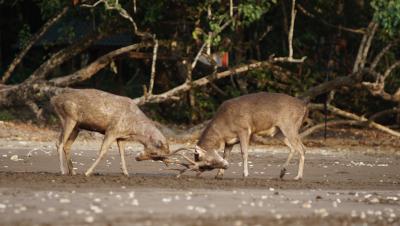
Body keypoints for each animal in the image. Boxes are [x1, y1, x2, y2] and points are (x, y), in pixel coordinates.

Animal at [177, 92, 308, 180]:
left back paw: (298, 176)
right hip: (278, 131)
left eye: (208, 163)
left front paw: (245, 174)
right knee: (294, 147)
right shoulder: (229, 141)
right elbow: (226, 155)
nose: (198, 172)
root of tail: (304, 106)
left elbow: (244, 152)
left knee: (301, 148)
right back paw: (282, 172)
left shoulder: (244, 129)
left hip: (289, 125)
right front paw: (219, 175)